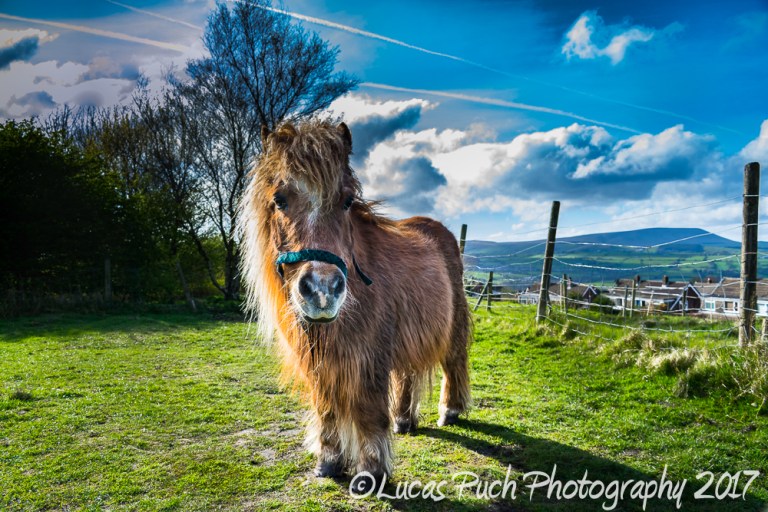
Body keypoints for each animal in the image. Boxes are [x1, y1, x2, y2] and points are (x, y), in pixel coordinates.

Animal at [239, 120, 471, 487]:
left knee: (455, 361)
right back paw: (404, 420)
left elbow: (367, 411)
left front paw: (371, 471)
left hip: (454, 326)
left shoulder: (368, 359)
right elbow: (326, 407)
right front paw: (329, 461)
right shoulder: (319, 361)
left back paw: (450, 410)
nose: (322, 290)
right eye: (279, 199)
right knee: (407, 373)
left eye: (347, 200)